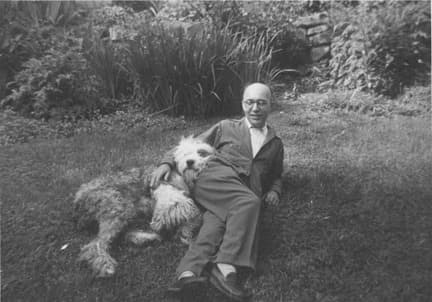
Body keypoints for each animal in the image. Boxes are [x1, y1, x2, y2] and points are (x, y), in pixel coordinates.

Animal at [73, 136, 214, 278]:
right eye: (185, 153)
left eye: (201, 152)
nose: (190, 162)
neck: (180, 174)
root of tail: (78, 199)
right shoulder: (168, 196)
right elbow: (187, 209)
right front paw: (171, 227)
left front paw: (184, 231)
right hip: (117, 208)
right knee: (96, 244)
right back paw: (106, 265)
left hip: (127, 212)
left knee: (123, 234)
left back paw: (147, 238)